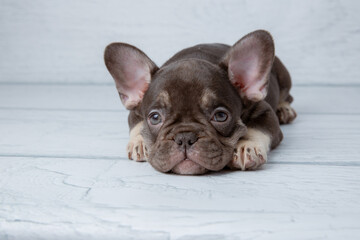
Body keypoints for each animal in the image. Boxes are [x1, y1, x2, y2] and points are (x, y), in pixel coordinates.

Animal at [103, 30, 296, 174]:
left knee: (287, 96)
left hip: (284, 76)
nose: (184, 138)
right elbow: (136, 126)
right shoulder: (134, 110)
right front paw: (140, 142)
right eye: (155, 118)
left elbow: (257, 128)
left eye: (220, 116)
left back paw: (284, 109)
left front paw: (246, 146)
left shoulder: (263, 110)